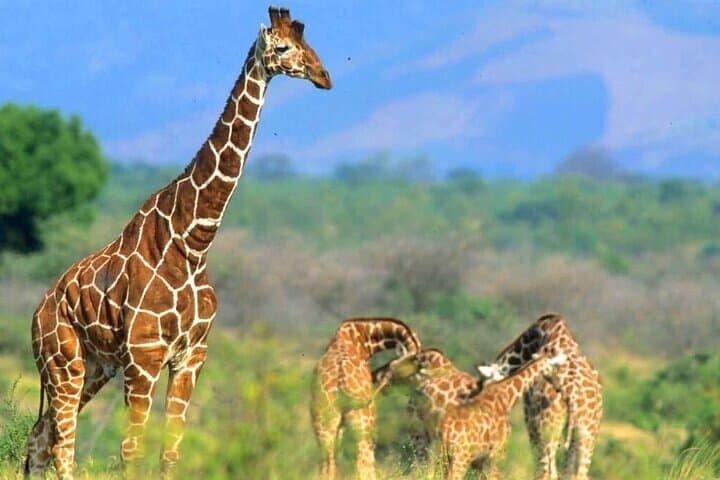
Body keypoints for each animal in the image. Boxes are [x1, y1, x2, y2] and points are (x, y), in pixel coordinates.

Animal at [23, 7, 331, 479]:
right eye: (282, 47)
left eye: (309, 44)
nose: (323, 76)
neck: (194, 240)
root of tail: (36, 313)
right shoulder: (145, 358)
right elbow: (131, 450)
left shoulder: (191, 356)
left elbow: (171, 450)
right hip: (64, 363)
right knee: (60, 444)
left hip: (94, 365)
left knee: (39, 437)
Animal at [310, 317, 421, 480]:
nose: (377, 378)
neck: (362, 337)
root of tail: (341, 382)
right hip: (365, 425)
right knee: (363, 462)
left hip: (324, 425)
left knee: (327, 464)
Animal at [440, 348, 567, 480]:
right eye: (554, 368)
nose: (558, 386)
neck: (507, 398)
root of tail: (447, 431)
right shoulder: (498, 453)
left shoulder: (481, 460)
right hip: (461, 457)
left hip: (446, 457)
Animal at [477, 314, 603, 480]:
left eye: (487, 392)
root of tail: (573, 396)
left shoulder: (530, 419)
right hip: (587, 434)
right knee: (578, 474)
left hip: (548, 429)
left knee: (548, 472)